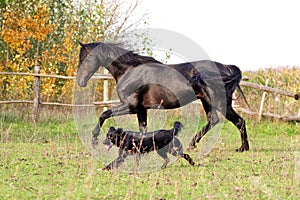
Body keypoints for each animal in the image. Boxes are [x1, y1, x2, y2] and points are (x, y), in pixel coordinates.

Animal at [76, 41, 250, 152]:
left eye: (87, 58)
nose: (80, 81)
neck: (130, 71)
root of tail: (226, 68)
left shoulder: (131, 106)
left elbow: (104, 114)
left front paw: (94, 139)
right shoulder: (141, 109)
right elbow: (143, 129)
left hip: (220, 103)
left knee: (238, 121)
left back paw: (242, 148)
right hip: (206, 101)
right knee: (214, 121)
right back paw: (192, 145)